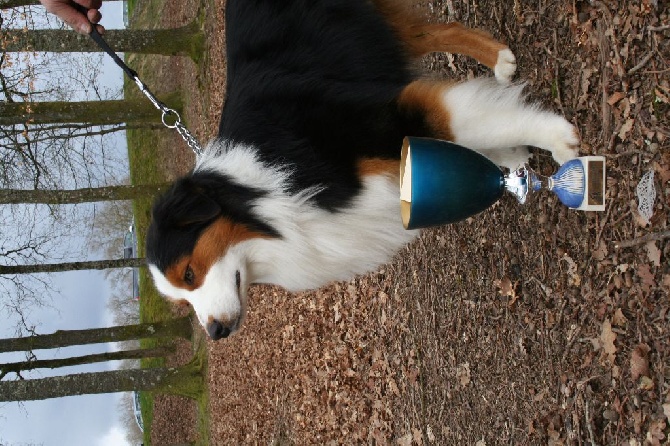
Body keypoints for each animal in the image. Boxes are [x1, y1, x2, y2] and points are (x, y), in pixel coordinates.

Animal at [146, 0, 576, 340]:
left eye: (189, 273)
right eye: (183, 300)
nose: (216, 332)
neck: (270, 187)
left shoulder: (386, 119)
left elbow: (470, 120)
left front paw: (560, 142)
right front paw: (512, 157)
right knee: (431, 31)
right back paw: (501, 59)